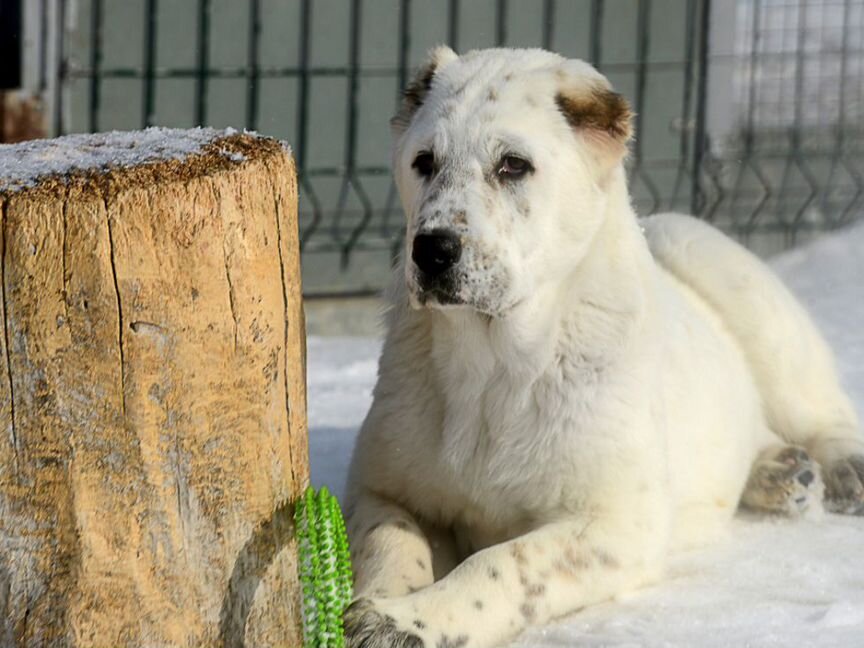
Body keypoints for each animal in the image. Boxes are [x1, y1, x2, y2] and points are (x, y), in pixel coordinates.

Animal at [340, 46, 860, 648]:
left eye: (513, 165)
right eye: (424, 161)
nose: (432, 249)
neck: (494, 363)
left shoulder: (615, 524)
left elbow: (502, 565)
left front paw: (408, 621)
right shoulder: (379, 488)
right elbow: (390, 541)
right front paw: (380, 605)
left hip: (727, 276)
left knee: (822, 408)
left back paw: (842, 469)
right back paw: (780, 471)